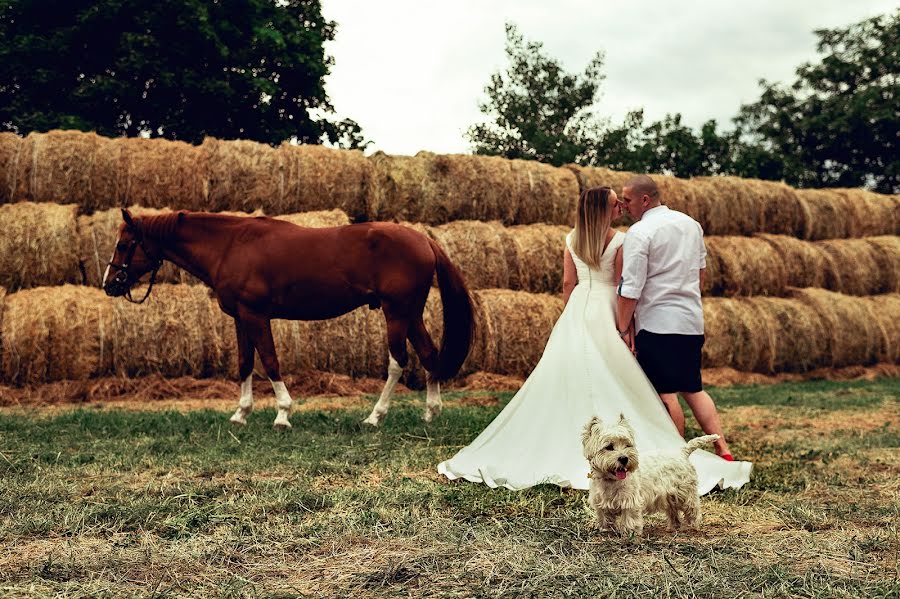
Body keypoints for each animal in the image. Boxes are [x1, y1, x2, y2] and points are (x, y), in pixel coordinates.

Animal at [103, 209, 474, 428]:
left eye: (123, 245)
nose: (109, 284)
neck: (231, 245)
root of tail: (423, 239)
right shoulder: (240, 318)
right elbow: (244, 363)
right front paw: (241, 413)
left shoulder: (255, 315)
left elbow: (270, 361)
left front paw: (283, 413)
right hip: (411, 314)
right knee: (429, 355)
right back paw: (431, 412)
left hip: (395, 313)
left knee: (398, 362)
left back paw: (374, 417)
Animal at [580, 414, 720, 536]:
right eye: (609, 447)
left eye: (627, 445)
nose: (624, 458)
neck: (610, 480)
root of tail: (682, 453)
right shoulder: (601, 503)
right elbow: (605, 518)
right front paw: (606, 530)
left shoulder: (631, 501)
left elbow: (629, 518)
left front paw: (630, 533)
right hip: (670, 495)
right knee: (673, 511)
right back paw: (673, 527)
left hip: (685, 493)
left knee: (692, 509)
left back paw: (692, 526)